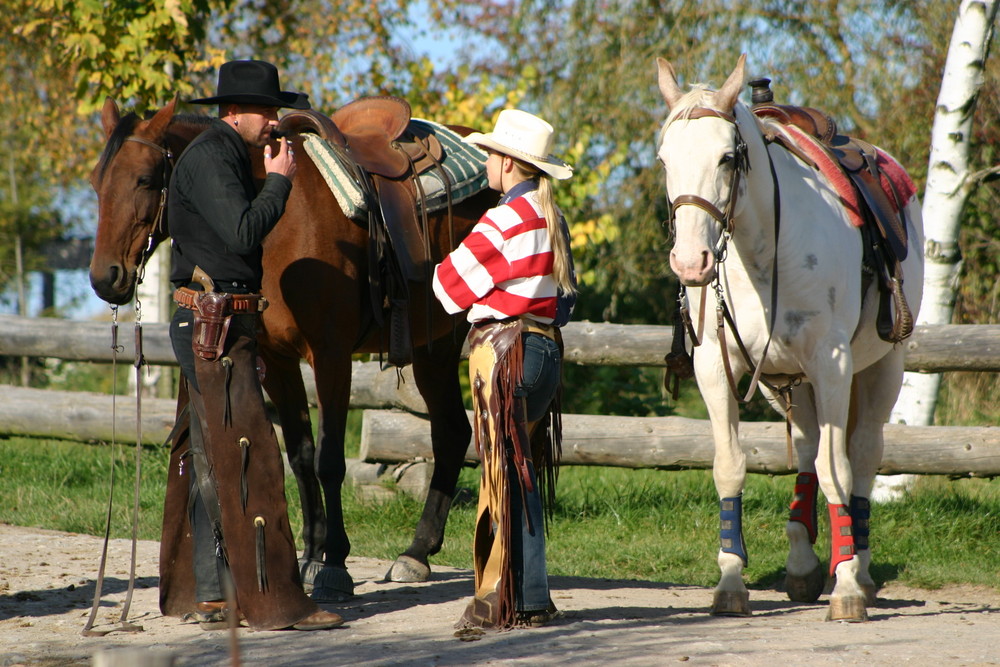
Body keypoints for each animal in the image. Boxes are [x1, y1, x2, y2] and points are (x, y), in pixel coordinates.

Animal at [89, 95, 492, 600]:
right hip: (433, 346)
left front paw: (334, 563)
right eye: (96, 183)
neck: (278, 222)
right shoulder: (277, 359)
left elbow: (329, 460)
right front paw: (312, 554)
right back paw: (416, 554)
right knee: (453, 432)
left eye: (144, 179)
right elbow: (299, 456)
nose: (104, 278)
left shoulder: (331, 354)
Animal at [652, 54, 924, 624]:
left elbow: (837, 470)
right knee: (805, 448)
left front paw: (847, 586)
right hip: (790, 384)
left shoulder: (833, 364)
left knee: (861, 455)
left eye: (727, 158)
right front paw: (731, 581)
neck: (763, 251)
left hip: (882, 367)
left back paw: (861, 568)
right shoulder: (717, 369)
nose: (690, 262)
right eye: (665, 161)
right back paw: (802, 563)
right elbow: (731, 466)